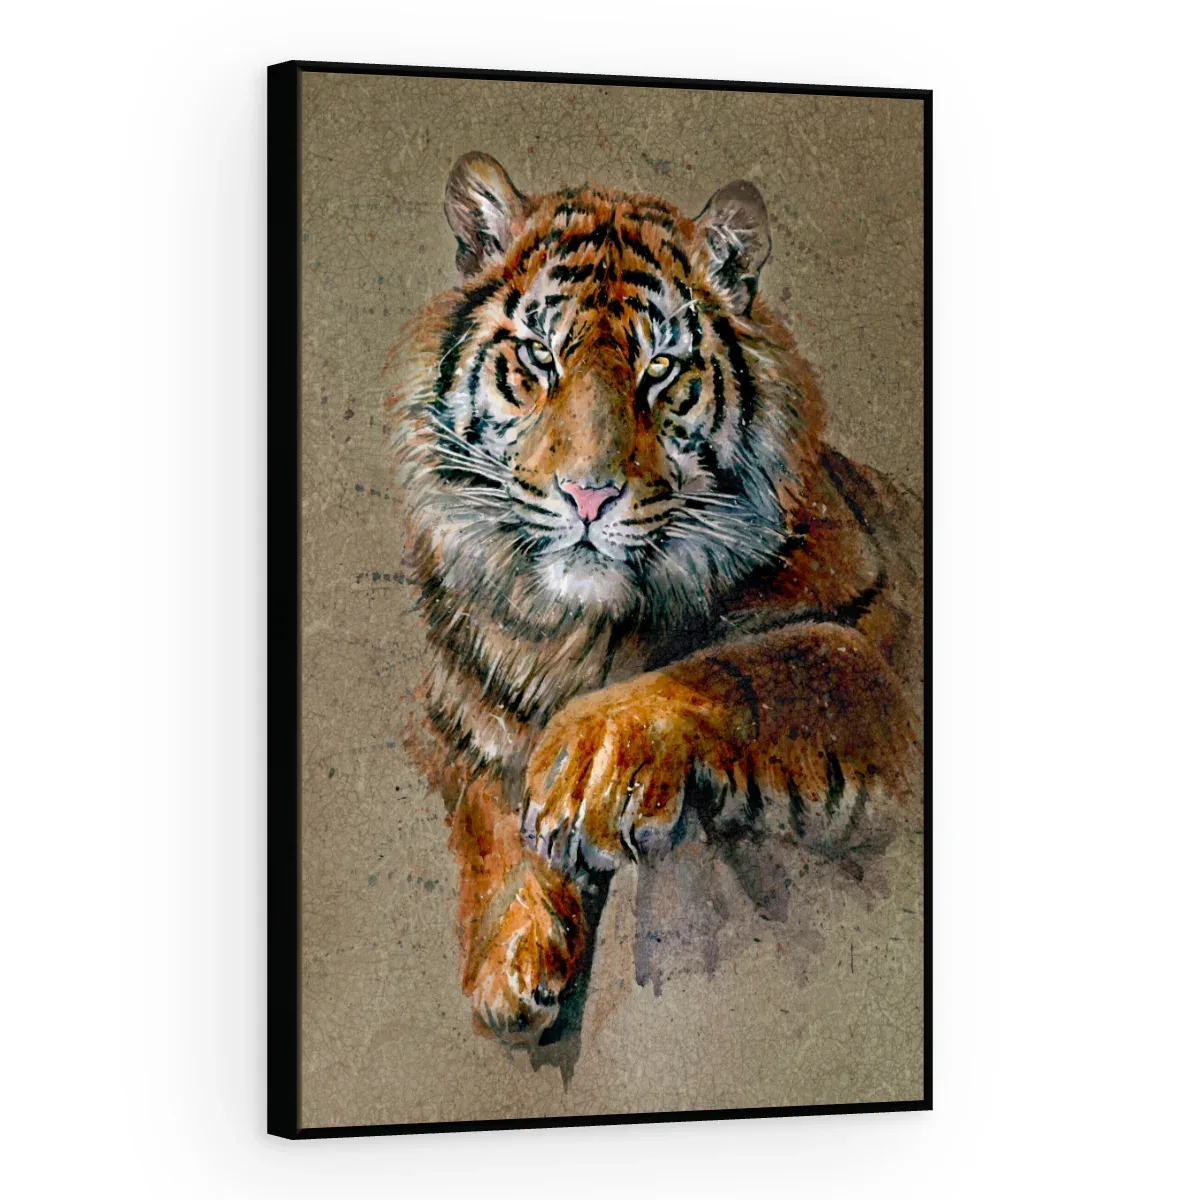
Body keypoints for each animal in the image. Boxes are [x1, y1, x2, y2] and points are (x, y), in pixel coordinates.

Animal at [383, 152, 924, 1047]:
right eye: (540, 357)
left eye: (660, 369)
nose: (588, 495)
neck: (577, 633)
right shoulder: (463, 720)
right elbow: (488, 813)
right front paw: (510, 956)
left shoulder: (868, 648)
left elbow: (754, 664)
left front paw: (590, 764)